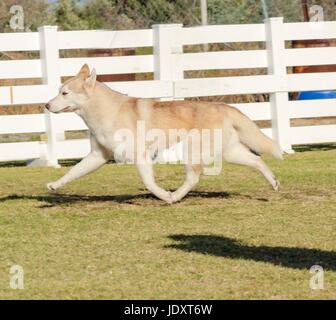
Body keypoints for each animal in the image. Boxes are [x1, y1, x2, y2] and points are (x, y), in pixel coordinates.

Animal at [44, 64, 280, 202]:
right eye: (58, 91)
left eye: (64, 93)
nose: (46, 105)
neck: (106, 112)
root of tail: (224, 106)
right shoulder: (97, 156)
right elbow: (73, 172)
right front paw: (55, 184)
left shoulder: (141, 155)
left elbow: (149, 182)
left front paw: (163, 195)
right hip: (230, 152)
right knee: (257, 160)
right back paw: (274, 182)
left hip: (193, 150)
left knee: (194, 177)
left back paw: (175, 196)